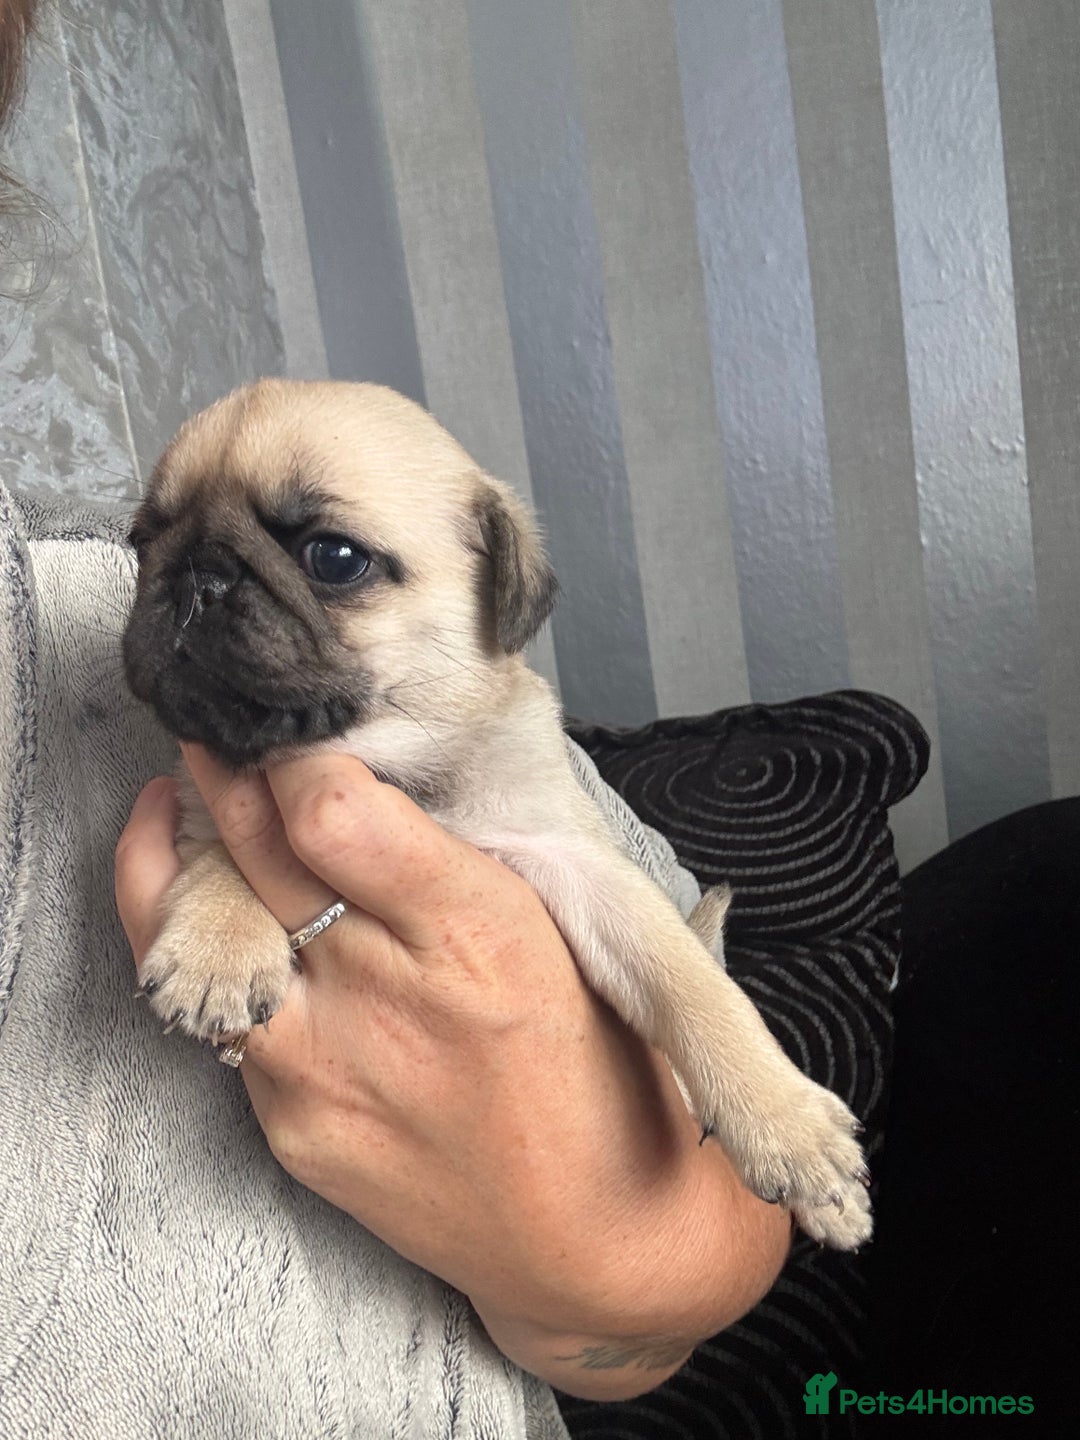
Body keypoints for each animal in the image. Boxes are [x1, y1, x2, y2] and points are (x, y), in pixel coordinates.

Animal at [122, 378, 871, 1249]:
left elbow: (694, 987)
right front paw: (221, 945)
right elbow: (224, 852)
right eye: (142, 543)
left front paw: (784, 1120)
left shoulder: (581, 865)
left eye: (334, 558)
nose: (194, 578)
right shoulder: (209, 801)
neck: (394, 770)